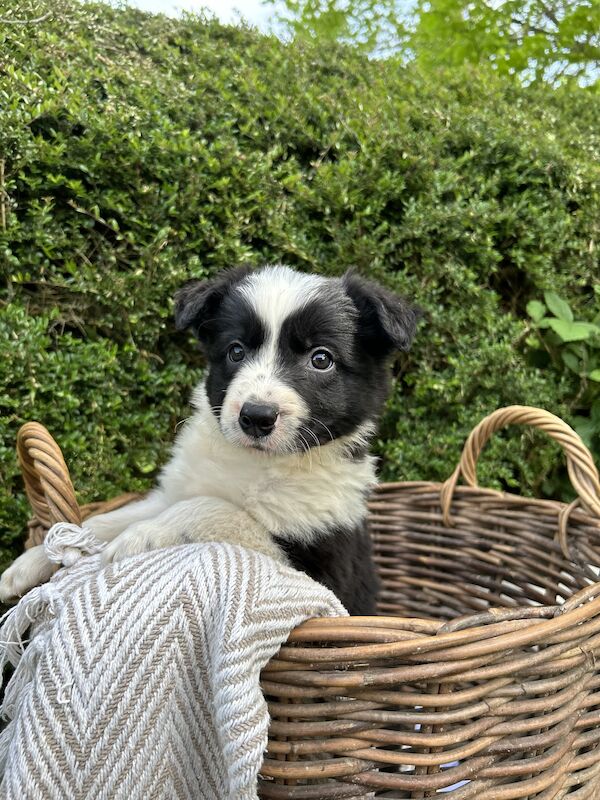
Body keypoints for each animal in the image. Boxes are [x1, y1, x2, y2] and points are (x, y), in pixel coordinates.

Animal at [0, 264, 420, 612]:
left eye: (321, 359)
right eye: (235, 351)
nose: (256, 417)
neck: (255, 462)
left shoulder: (324, 575)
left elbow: (217, 509)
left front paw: (141, 537)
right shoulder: (173, 490)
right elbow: (108, 518)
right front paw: (33, 560)